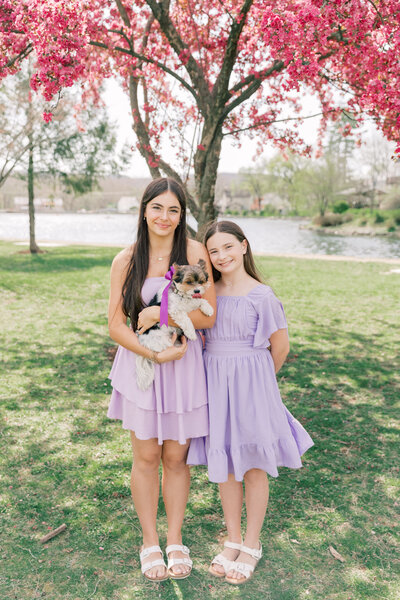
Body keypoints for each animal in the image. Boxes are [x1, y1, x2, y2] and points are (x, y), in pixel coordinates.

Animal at [136, 260, 214, 392]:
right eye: (189, 282)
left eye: (201, 281)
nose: (197, 291)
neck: (184, 296)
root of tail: (143, 343)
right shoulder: (175, 311)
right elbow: (186, 319)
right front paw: (191, 333)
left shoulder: (194, 303)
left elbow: (201, 301)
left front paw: (208, 309)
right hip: (163, 341)